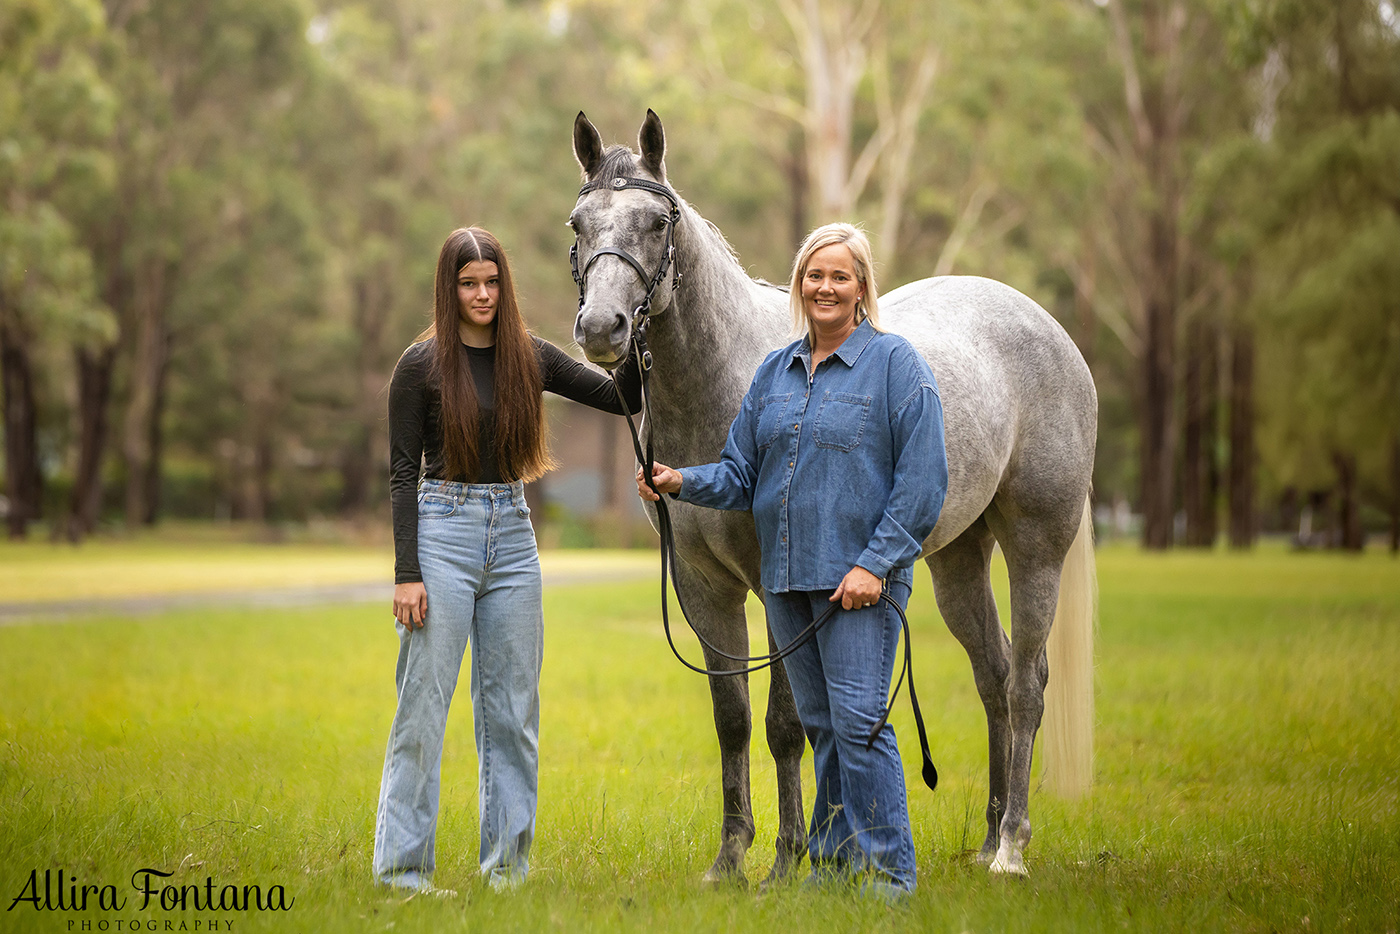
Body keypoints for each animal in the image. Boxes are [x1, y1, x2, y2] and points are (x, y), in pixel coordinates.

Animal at [565, 111, 1092, 884]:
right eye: (578, 224)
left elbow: (787, 724)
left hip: (1036, 547)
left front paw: (787, 861)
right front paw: (729, 860)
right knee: (993, 675)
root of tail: (1047, 328)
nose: (602, 330)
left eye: (657, 222)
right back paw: (988, 838)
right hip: (959, 559)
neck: (727, 382)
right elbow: (731, 718)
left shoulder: (778, 585)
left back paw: (1011, 850)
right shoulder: (704, 588)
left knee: (1027, 683)